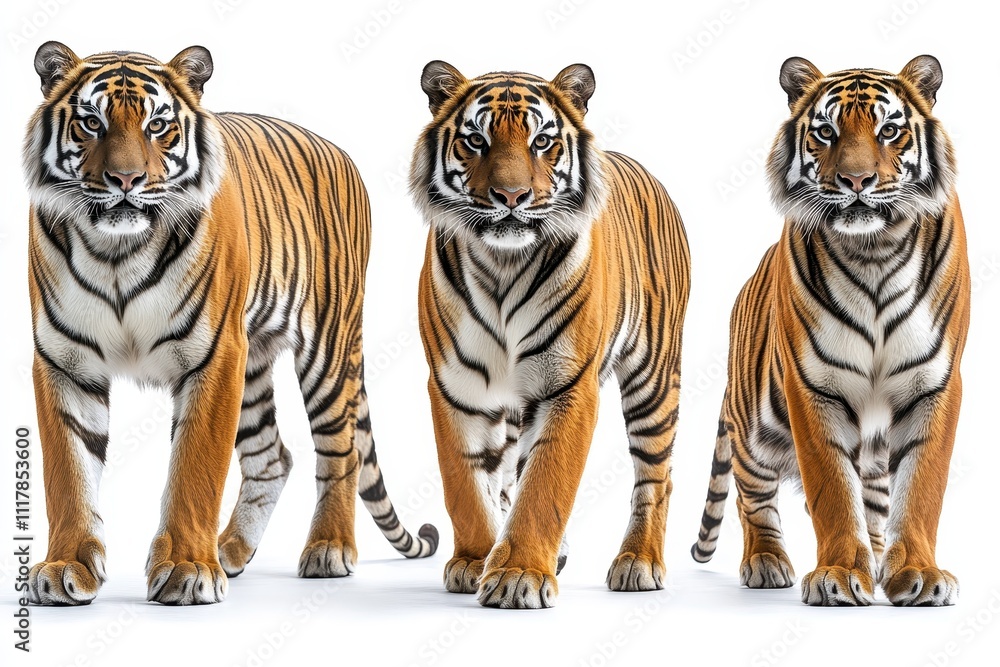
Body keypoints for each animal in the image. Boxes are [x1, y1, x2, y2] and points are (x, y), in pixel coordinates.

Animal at [24, 41, 437, 606]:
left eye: (157, 125)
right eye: (91, 122)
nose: (126, 181)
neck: (116, 252)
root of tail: (339, 150)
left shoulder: (215, 354)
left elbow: (195, 467)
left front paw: (186, 571)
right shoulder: (64, 360)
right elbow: (67, 471)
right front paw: (67, 567)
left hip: (328, 349)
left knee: (342, 451)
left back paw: (328, 549)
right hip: (255, 363)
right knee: (272, 458)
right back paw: (231, 551)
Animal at [411, 61, 690, 609]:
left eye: (541, 141)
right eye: (475, 140)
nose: (511, 197)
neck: (502, 265)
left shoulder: (567, 385)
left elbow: (545, 484)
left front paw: (518, 573)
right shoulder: (456, 387)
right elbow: (465, 484)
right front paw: (475, 560)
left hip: (654, 377)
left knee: (656, 476)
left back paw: (639, 561)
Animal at [691, 55, 969, 607]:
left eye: (889, 131)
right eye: (826, 132)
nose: (856, 180)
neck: (875, 249)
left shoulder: (936, 382)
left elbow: (921, 487)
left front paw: (918, 573)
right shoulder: (812, 385)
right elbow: (832, 491)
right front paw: (838, 575)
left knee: (876, 499)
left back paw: (881, 559)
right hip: (752, 423)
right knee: (752, 494)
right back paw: (766, 561)